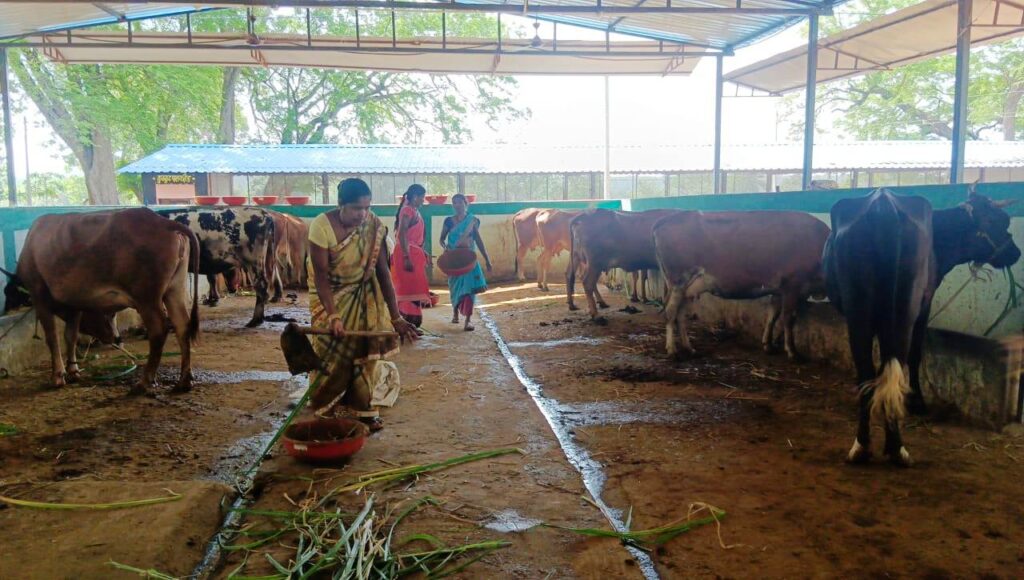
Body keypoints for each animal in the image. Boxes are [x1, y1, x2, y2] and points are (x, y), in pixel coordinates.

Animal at [2, 209, 198, 395]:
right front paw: (73, 371)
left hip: (147, 297)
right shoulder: (74, 304)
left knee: (159, 329)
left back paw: (144, 382)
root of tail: (163, 222)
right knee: (182, 325)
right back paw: (184, 381)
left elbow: (52, 337)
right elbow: (70, 336)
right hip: (175, 289)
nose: (6, 309)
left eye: (8, 293)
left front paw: (58, 376)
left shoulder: (39, 295)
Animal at [655, 211, 831, 360]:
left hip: (688, 288)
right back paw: (672, 350)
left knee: (680, 316)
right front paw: (792, 351)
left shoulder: (778, 290)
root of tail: (665, 219)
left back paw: (689, 348)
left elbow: (772, 315)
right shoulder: (792, 286)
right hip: (679, 281)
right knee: (670, 313)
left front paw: (768, 344)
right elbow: (788, 318)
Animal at [827, 190, 1019, 469]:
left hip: (865, 313)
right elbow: (915, 355)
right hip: (899, 310)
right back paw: (886, 446)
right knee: (894, 361)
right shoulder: (925, 306)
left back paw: (870, 446)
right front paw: (918, 402)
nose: (1016, 253)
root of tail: (883, 203)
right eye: (999, 221)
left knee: (875, 368)